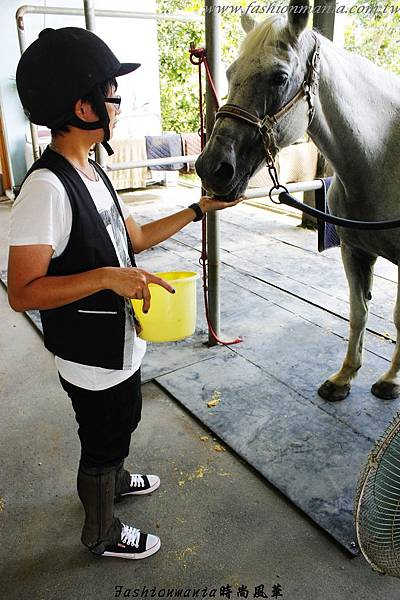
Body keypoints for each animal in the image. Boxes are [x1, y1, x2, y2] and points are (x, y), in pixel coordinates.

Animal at [195, 2, 400, 404]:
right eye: (229, 73)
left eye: (278, 78)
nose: (212, 169)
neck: (380, 157)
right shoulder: (354, 249)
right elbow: (359, 311)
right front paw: (343, 378)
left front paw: (390, 381)